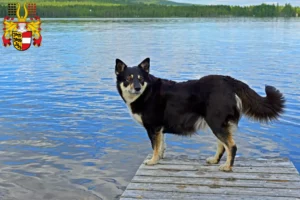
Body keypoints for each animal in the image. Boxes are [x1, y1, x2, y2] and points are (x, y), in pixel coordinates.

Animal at [113, 57, 284, 172]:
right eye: (128, 78)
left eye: (140, 79)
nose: (136, 88)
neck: (147, 93)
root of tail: (229, 81)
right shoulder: (159, 129)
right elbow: (161, 146)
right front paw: (159, 159)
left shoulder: (153, 128)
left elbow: (155, 147)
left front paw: (153, 161)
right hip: (218, 124)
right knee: (223, 146)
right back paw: (215, 160)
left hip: (216, 123)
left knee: (232, 146)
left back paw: (227, 167)